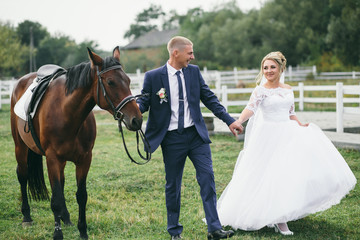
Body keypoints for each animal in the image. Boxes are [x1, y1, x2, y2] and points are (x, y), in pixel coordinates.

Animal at [10, 46, 142, 238]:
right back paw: (26, 216)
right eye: (111, 82)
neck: (66, 112)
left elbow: (81, 195)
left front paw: (83, 231)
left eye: (128, 80)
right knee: (23, 175)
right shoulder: (52, 159)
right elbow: (56, 199)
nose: (137, 120)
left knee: (61, 183)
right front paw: (57, 234)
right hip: (20, 147)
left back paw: (65, 218)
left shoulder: (85, 159)